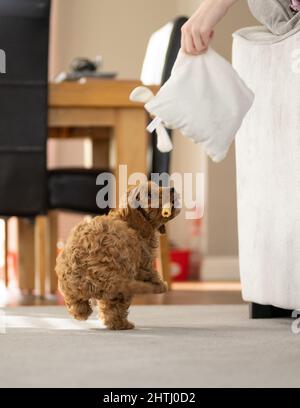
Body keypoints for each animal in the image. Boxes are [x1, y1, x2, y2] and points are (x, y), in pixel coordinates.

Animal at [56, 183, 180, 330]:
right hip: (121, 281)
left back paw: (81, 313)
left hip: (69, 282)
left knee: (76, 302)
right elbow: (151, 273)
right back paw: (121, 324)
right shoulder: (144, 259)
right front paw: (160, 284)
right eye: (150, 195)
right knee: (114, 307)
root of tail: (87, 273)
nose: (172, 189)